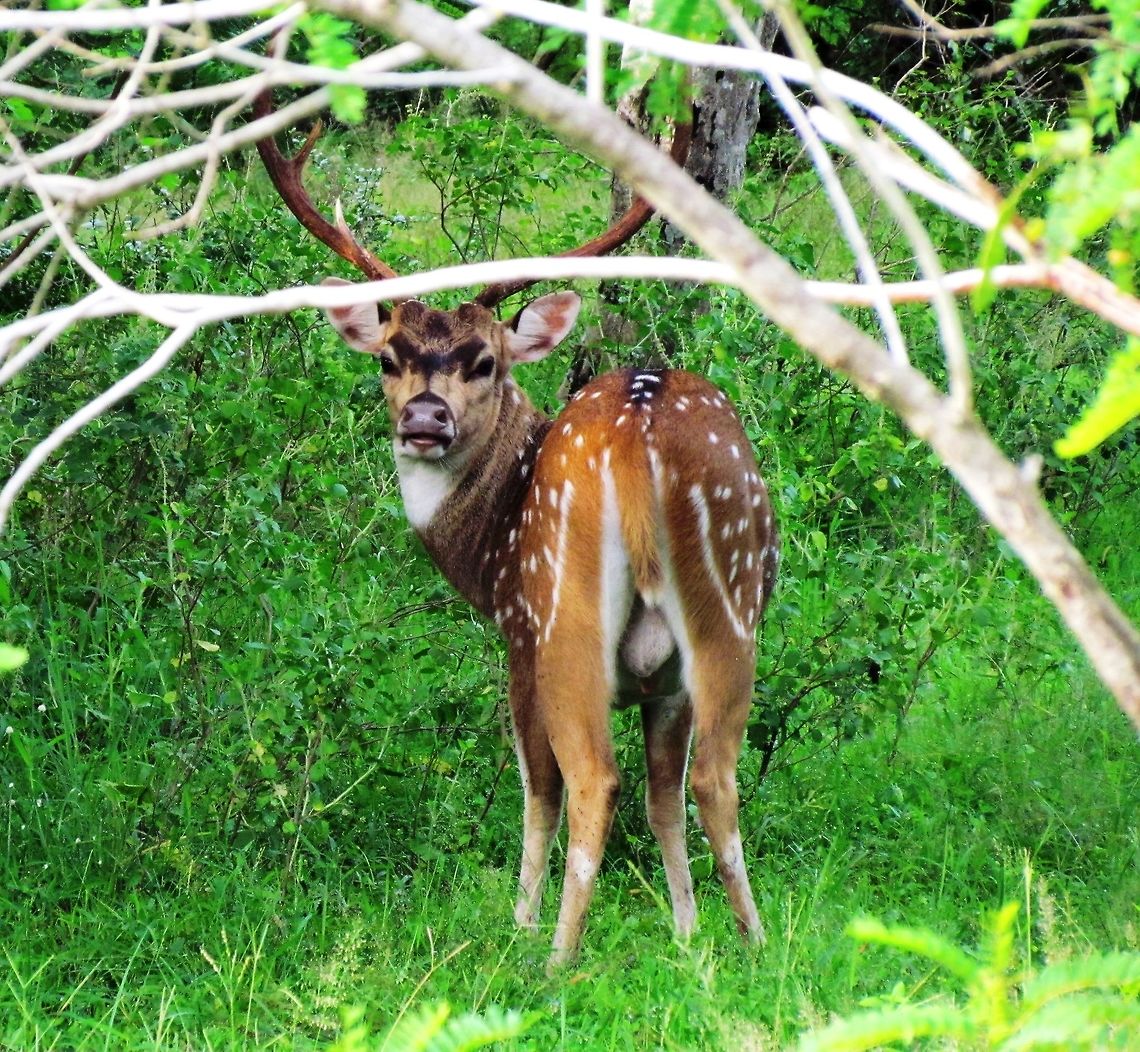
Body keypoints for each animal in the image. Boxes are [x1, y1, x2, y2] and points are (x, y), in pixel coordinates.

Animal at [255, 93, 780, 967]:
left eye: (483, 361)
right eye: (389, 357)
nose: (424, 420)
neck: (485, 544)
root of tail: (640, 433)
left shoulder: (517, 638)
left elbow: (540, 787)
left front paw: (521, 921)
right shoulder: (663, 684)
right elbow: (663, 796)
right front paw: (687, 937)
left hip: (566, 617)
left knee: (591, 777)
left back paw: (555, 961)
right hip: (729, 601)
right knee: (712, 776)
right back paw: (756, 943)